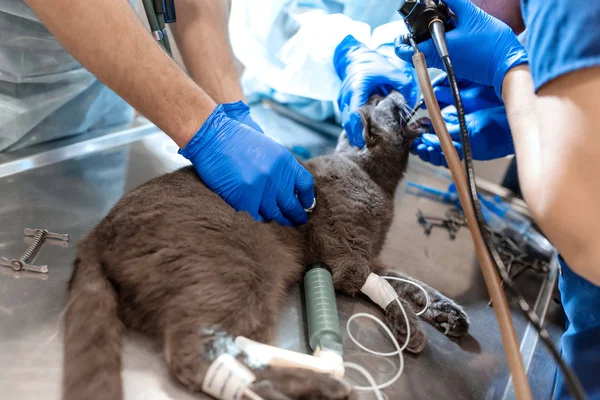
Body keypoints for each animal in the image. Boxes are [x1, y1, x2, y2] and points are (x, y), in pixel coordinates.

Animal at [63, 92, 472, 400]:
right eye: (387, 103)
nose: (400, 91)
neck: (378, 183)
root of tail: (93, 237)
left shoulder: (374, 254)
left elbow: (410, 282)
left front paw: (447, 312)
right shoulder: (346, 254)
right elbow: (385, 287)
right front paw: (410, 328)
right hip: (237, 272)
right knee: (195, 356)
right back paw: (322, 386)